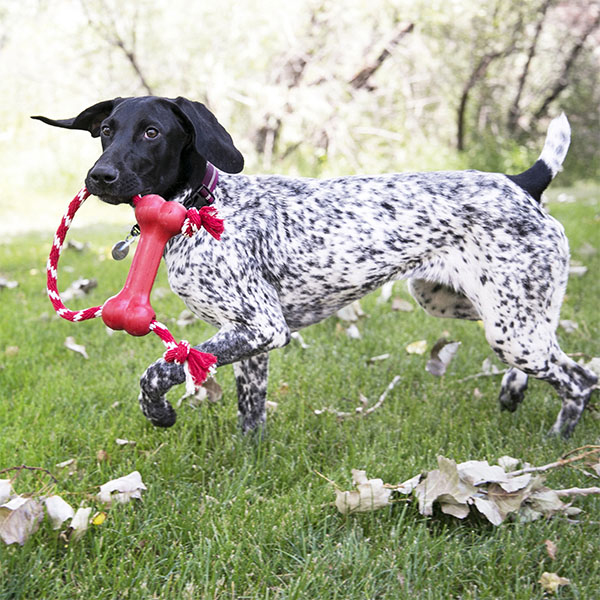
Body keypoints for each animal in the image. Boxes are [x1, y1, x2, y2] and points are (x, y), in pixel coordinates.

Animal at [35, 96, 596, 438]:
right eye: (106, 131)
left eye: (151, 132)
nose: (98, 176)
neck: (204, 207)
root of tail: (522, 181)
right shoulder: (250, 338)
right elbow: (251, 413)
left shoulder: (262, 327)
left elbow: (159, 369)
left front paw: (159, 411)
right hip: (475, 307)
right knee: (569, 361)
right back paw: (515, 393)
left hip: (512, 329)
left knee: (579, 380)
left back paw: (556, 440)